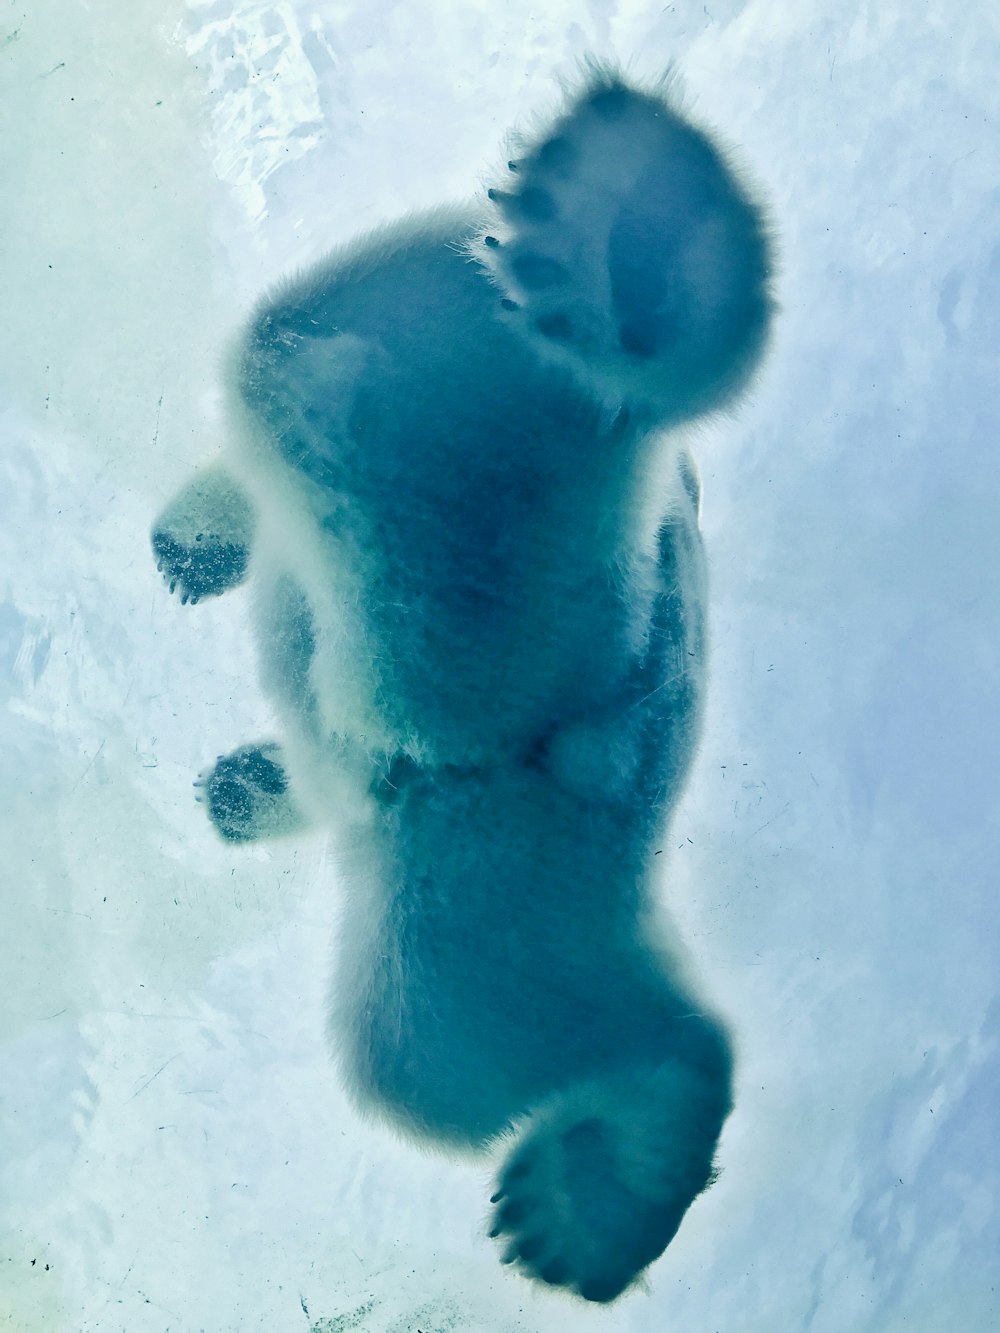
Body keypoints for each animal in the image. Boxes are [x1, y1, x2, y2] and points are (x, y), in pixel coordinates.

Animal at [152, 70, 773, 1301]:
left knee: (312, 336)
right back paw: (587, 1195)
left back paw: (607, 233)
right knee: (444, 1040)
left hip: (459, 405)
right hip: (488, 864)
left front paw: (192, 550)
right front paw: (240, 784)